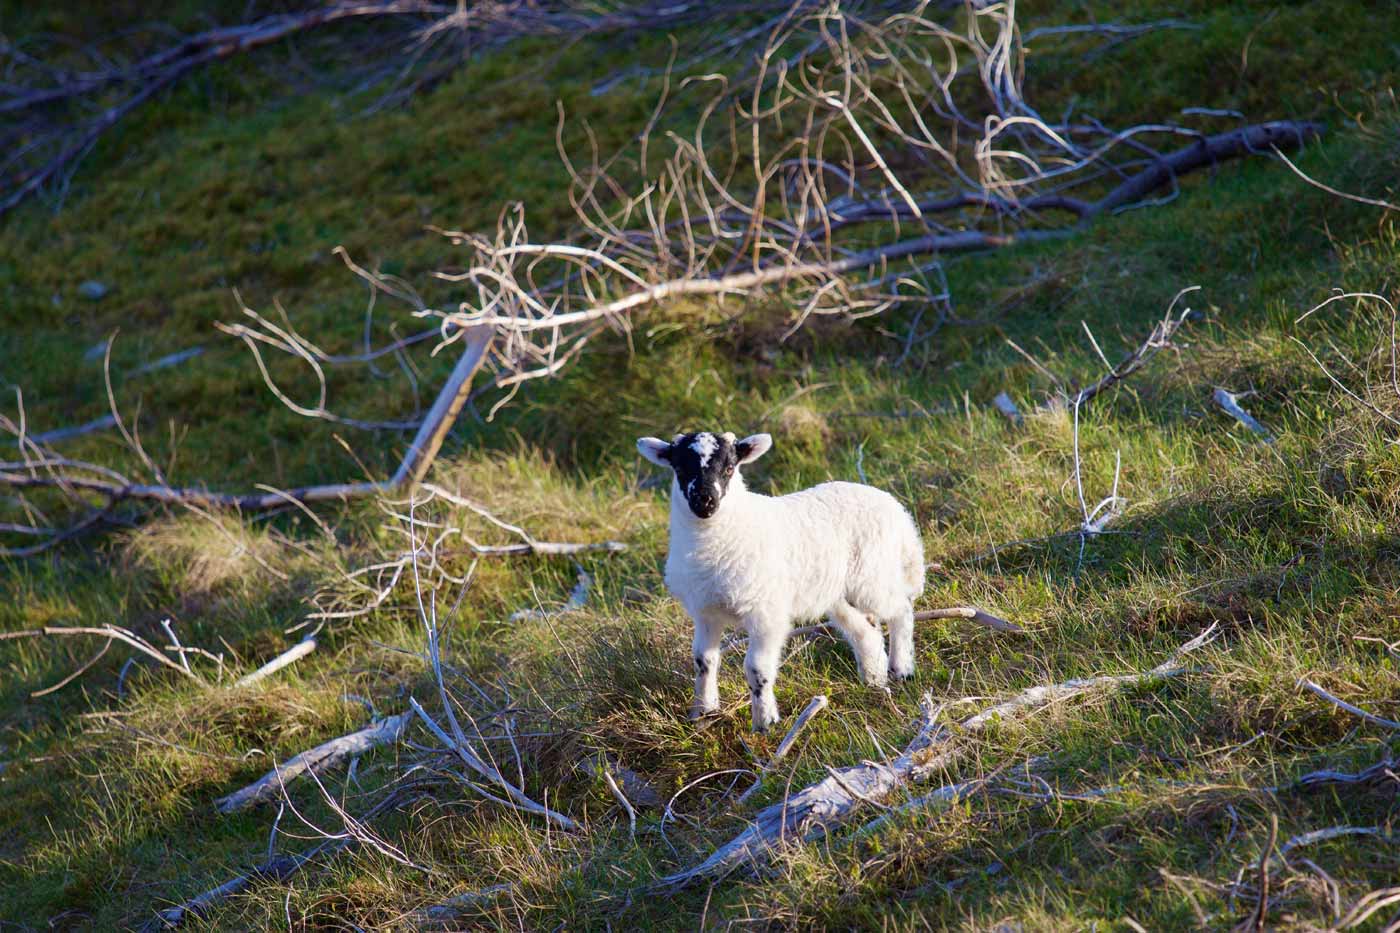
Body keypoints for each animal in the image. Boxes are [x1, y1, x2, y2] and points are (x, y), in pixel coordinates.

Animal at [638, 431, 924, 728]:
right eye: (680, 469)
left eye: (729, 468)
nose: (705, 501)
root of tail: (896, 509)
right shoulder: (706, 612)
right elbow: (703, 660)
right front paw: (703, 713)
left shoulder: (766, 613)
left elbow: (756, 667)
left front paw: (765, 722)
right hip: (838, 591)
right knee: (865, 630)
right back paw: (873, 679)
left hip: (872, 574)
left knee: (901, 609)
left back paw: (902, 669)